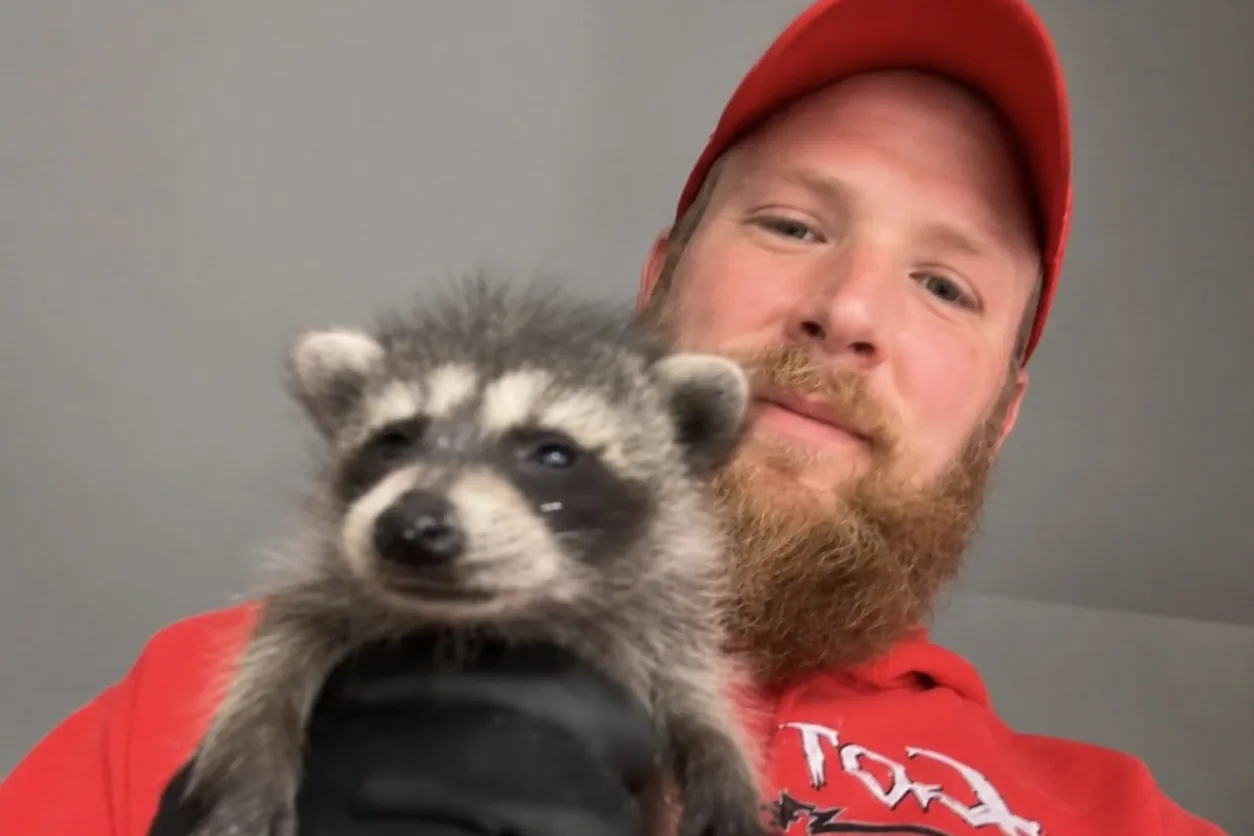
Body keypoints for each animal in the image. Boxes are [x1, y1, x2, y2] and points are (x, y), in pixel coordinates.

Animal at [182, 276, 770, 836]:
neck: (484, 623)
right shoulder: (323, 580)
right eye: (394, 441)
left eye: (553, 454)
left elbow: (691, 685)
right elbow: (276, 649)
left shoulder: (662, 611)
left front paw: (719, 748)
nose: (410, 527)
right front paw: (251, 757)